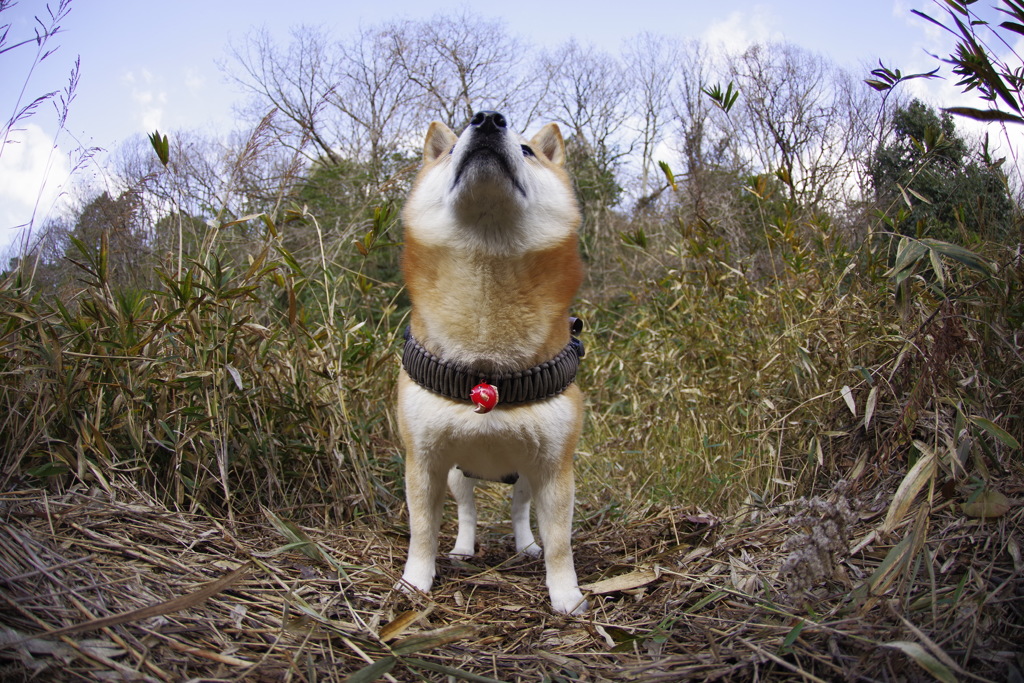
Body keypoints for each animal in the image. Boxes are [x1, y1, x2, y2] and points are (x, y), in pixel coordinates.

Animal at [395, 111, 589, 614]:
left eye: (528, 150)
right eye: (449, 149)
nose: (485, 119)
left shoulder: (554, 467)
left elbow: (560, 542)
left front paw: (566, 595)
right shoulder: (424, 460)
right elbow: (422, 531)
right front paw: (414, 581)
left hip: (525, 476)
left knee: (521, 512)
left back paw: (525, 547)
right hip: (458, 475)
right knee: (467, 511)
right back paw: (464, 549)